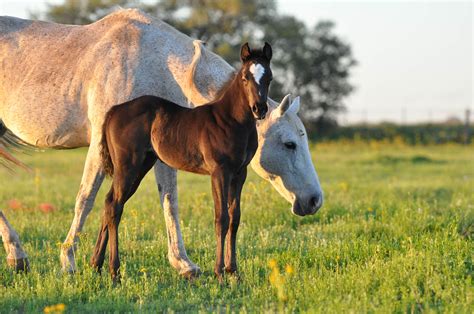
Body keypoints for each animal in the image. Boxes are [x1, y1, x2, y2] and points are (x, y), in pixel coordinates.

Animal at [90, 42, 272, 282]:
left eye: (269, 77)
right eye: (244, 77)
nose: (259, 109)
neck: (231, 120)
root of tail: (114, 110)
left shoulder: (239, 174)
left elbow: (234, 218)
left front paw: (234, 272)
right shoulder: (219, 172)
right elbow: (221, 218)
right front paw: (219, 273)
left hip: (141, 166)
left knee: (110, 202)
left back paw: (96, 265)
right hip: (127, 165)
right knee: (114, 206)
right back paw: (114, 271)